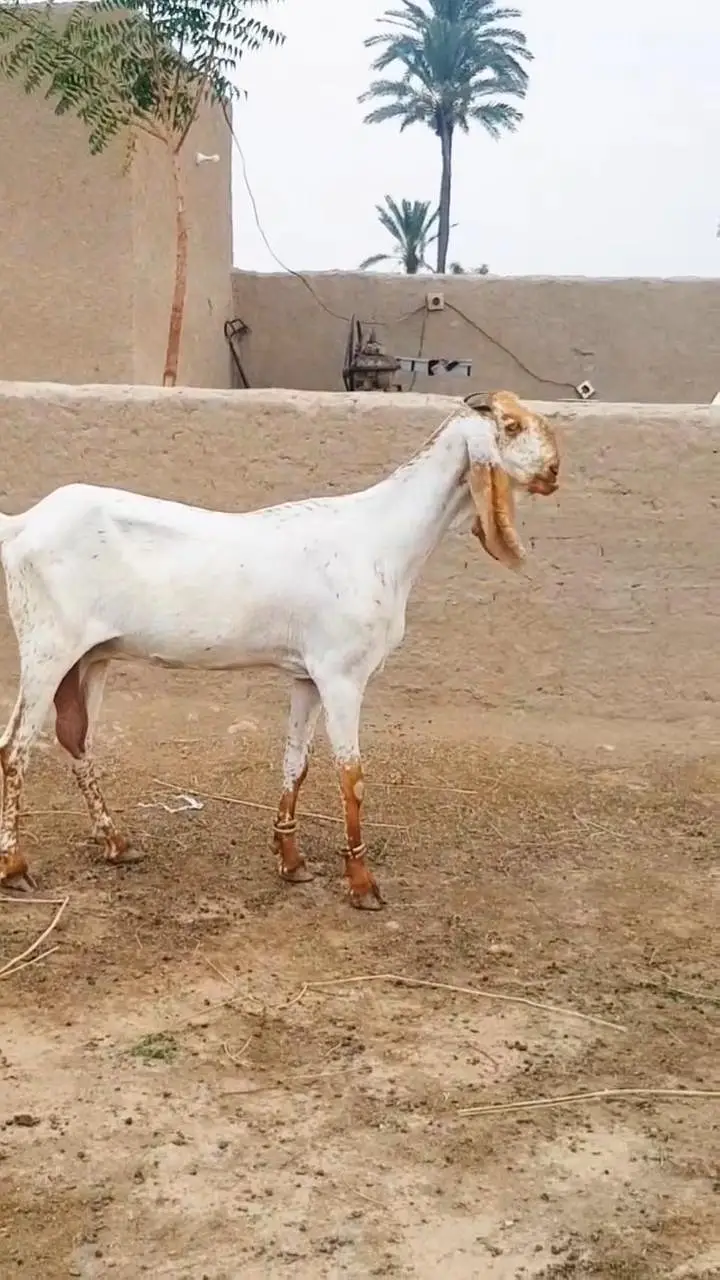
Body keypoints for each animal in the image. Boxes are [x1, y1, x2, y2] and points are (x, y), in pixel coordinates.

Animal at [0, 390, 560, 908]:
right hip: (47, 647)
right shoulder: (342, 675)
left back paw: (117, 843)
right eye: (511, 425)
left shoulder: (307, 676)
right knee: (15, 748)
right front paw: (362, 884)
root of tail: (22, 524)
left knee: (75, 738)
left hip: (88, 658)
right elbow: (351, 776)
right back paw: (16, 867)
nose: (554, 471)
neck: (382, 539)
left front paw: (291, 861)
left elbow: (297, 761)